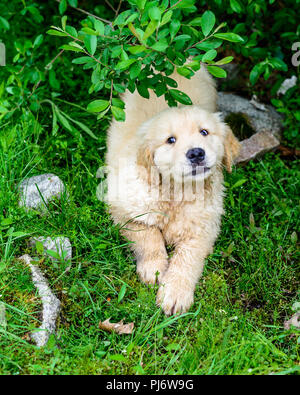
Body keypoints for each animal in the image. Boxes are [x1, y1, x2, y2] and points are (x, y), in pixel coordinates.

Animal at [106, 66, 240, 318]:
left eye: (204, 132)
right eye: (170, 140)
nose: (196, 153)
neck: (177, 192)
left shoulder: (203, 230)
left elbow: (187, 259)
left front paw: (175, 293)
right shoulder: (122, 209)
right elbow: (148, 234)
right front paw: (155, 268)